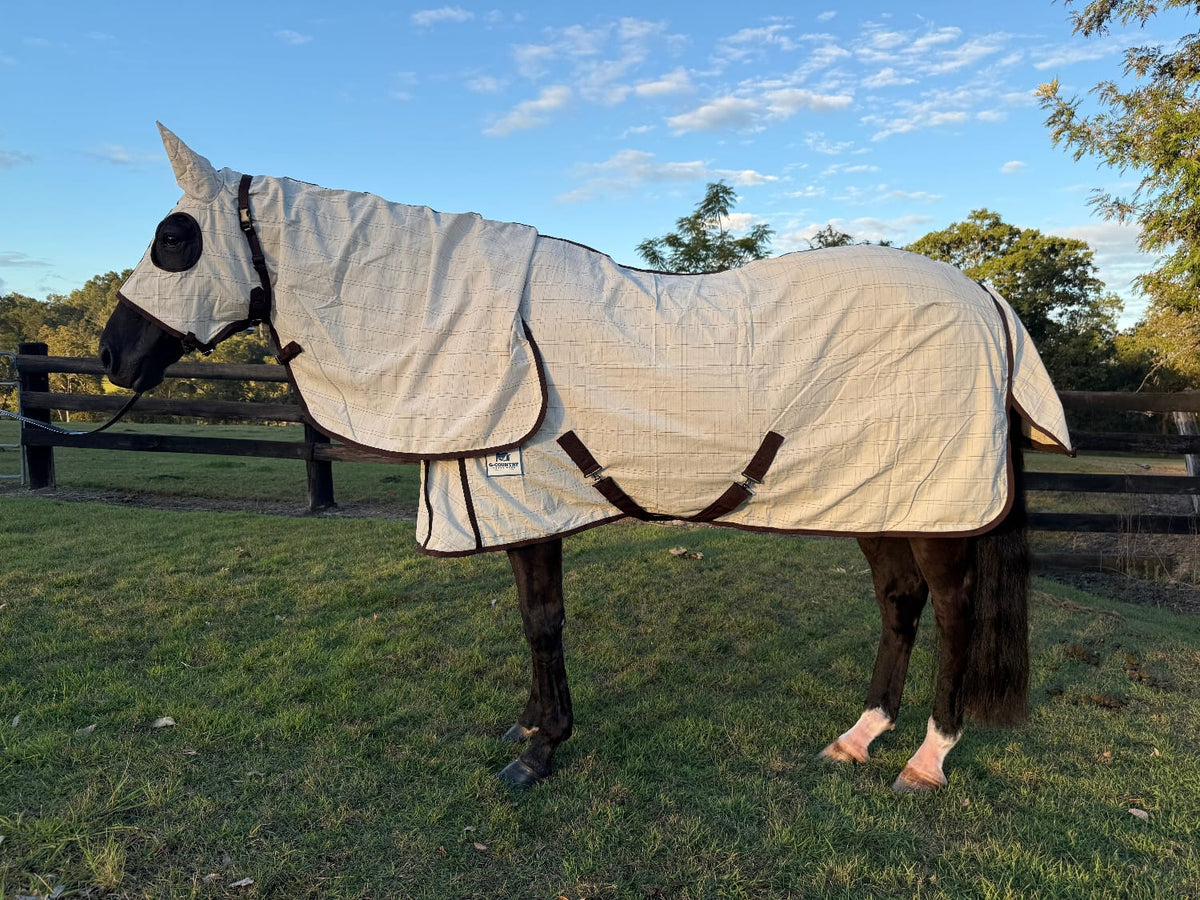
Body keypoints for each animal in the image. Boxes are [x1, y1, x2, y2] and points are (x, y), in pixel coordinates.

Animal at [99, 124, 1072, 792]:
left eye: (174, 239)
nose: (113, 355)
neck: (483, 332)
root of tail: (986, 298)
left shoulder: (533, 505)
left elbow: (542, 622)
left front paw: (540, 751)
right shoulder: (515, 505)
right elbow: (534, 619)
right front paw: (531, 728)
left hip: (938, 509)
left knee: (952, 612)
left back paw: (927, 760)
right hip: (876, 497)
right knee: (899, 603)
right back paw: (858, 737)